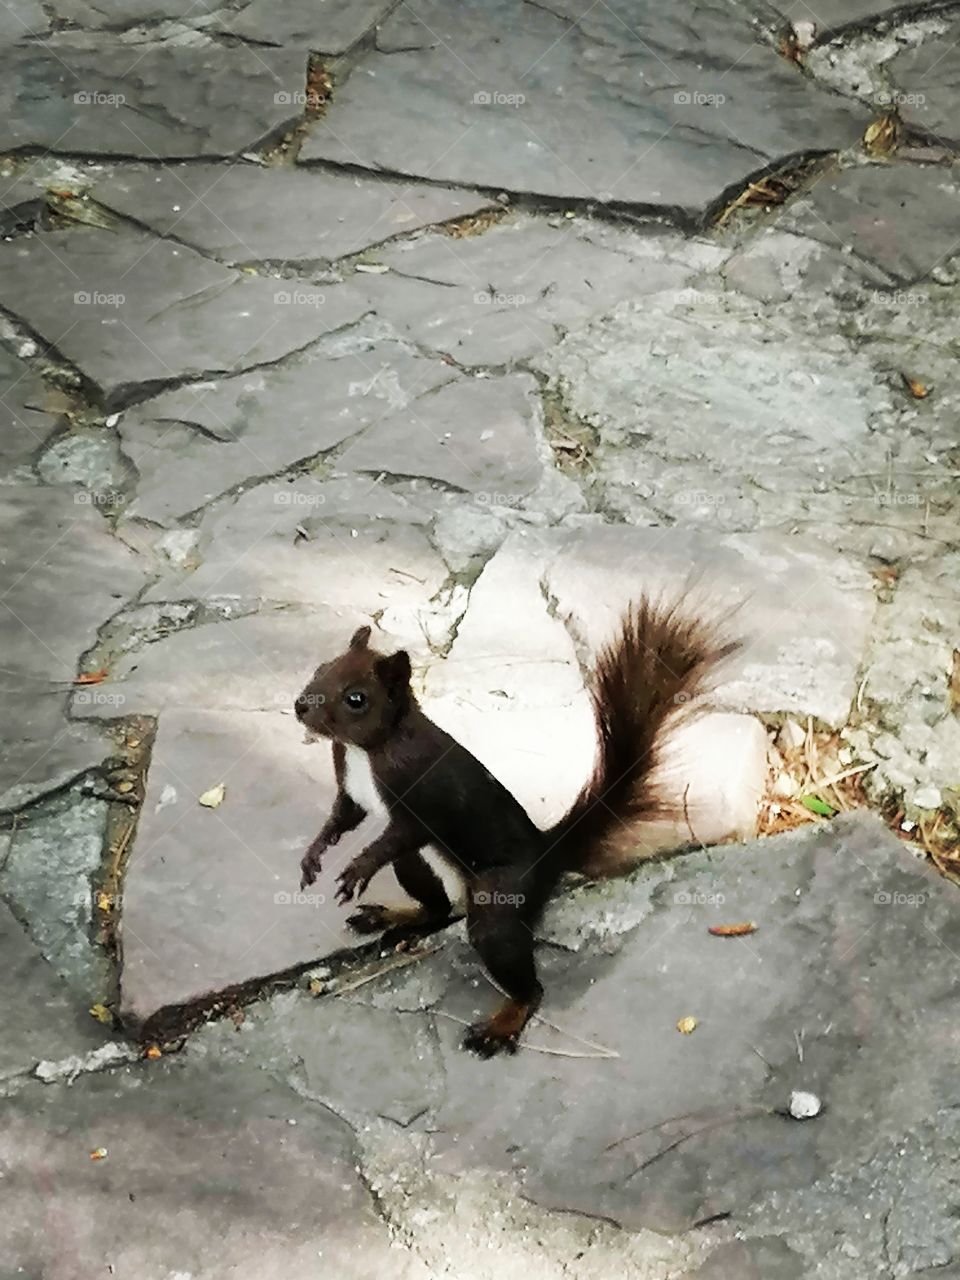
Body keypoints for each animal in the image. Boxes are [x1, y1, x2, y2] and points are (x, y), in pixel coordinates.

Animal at [294, 602, 736, 1058]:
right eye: (322, 668)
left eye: (356, 699)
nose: (300, 707)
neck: (366, 750)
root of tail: (546, 856)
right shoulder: (351, 791)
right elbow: (343, 818)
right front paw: (314, 856)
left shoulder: (422, 796)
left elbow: (402, 831)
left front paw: (357, 870)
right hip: (416, 867)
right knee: (436, 909)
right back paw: (392, 916)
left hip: (498, 897)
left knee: (520, 973)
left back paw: (502, 1024)